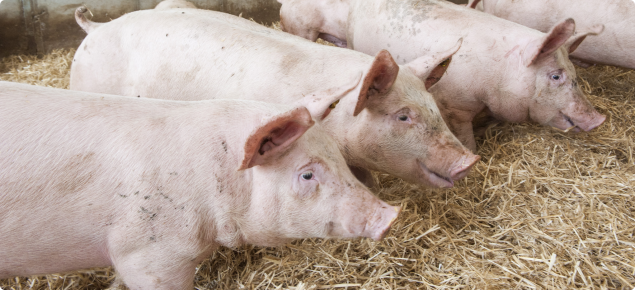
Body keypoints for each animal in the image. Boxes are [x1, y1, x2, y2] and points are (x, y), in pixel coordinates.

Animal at [280, 0, 608, 151]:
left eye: (574, 72)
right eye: (555, 76)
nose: (599, 118)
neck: (501, 75)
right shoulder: (457, 105)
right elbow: (465, 135)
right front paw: (474, 151)